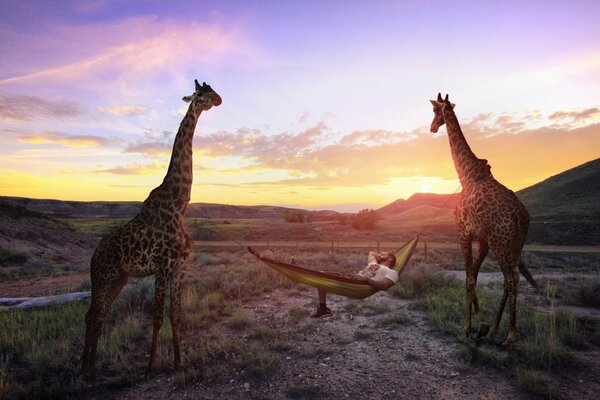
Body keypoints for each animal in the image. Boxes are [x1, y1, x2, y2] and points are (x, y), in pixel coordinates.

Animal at [79, 79, 220, 374]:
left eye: (213, 89)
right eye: (200, 93)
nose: (219, 99)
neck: (179, 204)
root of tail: (94, 256)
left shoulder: (180, 266)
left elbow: (175, 315)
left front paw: (179, 362)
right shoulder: (162, 266)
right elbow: (156, 317)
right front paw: (151, 364)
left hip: (119, 278)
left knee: (98, 314)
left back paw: (92, 367)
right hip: (104, 275)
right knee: (93, 314)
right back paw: (86, 368)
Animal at [428, 92, 536, 346]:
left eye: (436, 111)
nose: (432, 127)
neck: (466, 175)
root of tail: (522, 217)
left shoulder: (464, 233)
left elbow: (468, 278)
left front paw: (469, 328)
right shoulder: (483, 239)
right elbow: (473, 276)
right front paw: (482, 327)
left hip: (501, 243)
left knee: (512, 277)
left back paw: (510, 335)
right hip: (514, 244)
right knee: (508, 280)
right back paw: (496, 330)